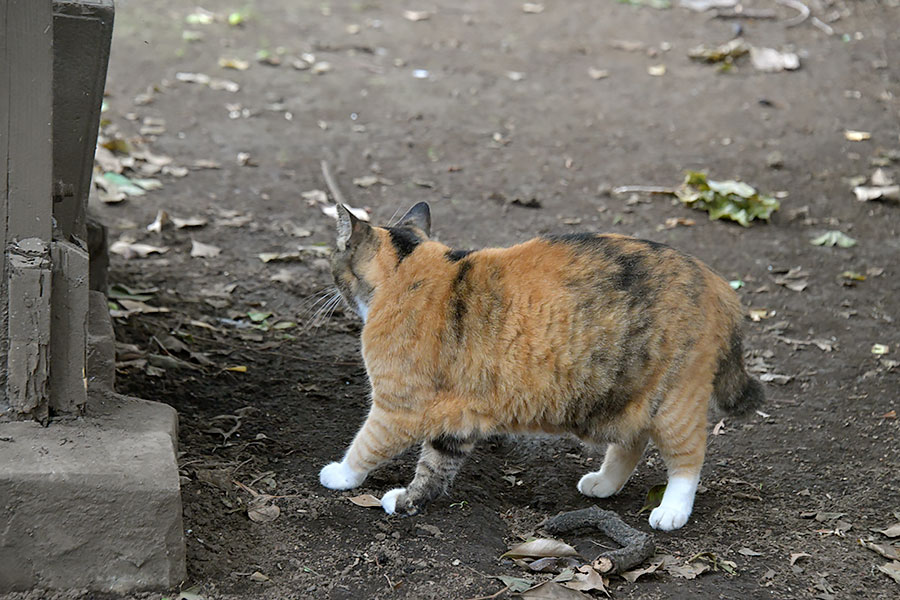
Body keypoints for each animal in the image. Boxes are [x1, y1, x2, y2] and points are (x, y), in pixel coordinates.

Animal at [320, 202, 764, 528]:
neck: (408, 271)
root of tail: (716, 282)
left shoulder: (399, 408)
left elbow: (367, 444)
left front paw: (341, 475)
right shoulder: (456, 416)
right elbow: (435, 467)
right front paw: (411, 501)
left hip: (674, 402)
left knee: (688, 457)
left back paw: (672, 510)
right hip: (625, 395)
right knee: (632, 442)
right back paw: (604, 484)